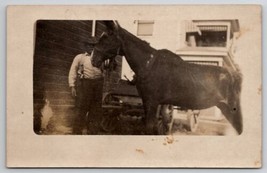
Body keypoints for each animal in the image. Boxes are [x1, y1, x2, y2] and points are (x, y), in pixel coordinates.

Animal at [91, 20, 243, 135]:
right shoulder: (147, 101)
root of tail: (234, 75)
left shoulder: (153, 102)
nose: (93, 59)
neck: (149, 64)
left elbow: (150, 127)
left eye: (107, 38)